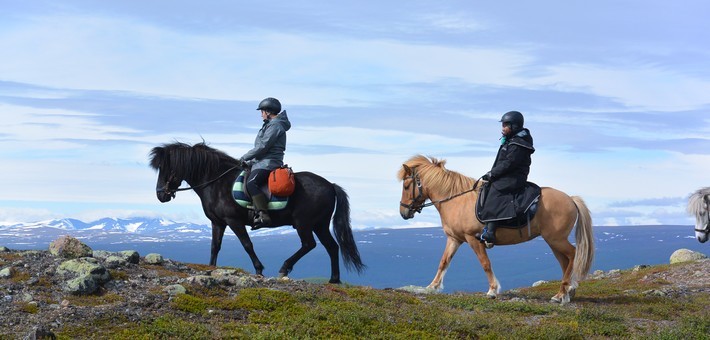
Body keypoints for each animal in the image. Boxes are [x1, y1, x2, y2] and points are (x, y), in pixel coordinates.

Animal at [147, 141, 364, 282]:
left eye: (166, 168)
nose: (160, 195)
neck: (217, 182)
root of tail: (330, 185)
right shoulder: (218, 222)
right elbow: (215, 246)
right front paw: (210, 269)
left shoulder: (233, 221)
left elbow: (247, 244)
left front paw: (259, 270)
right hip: (320, 224)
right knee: (331, 247)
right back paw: (334, 280)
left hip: (303, 223)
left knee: (309, 244)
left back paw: (285, 268)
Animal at [400, 155, 596, 304]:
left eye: (406, 185)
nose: (403, 212)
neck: (456, 200)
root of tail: (570, 199)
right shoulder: (454, 239)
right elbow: (443, 262)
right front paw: (432, 287)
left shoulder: (472, 238)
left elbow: (485, 263)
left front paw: (493, 290)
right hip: (553, 242)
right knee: (565, 261)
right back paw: (565, 292)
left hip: (556, 239)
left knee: (573, 254)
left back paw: (563, 293)